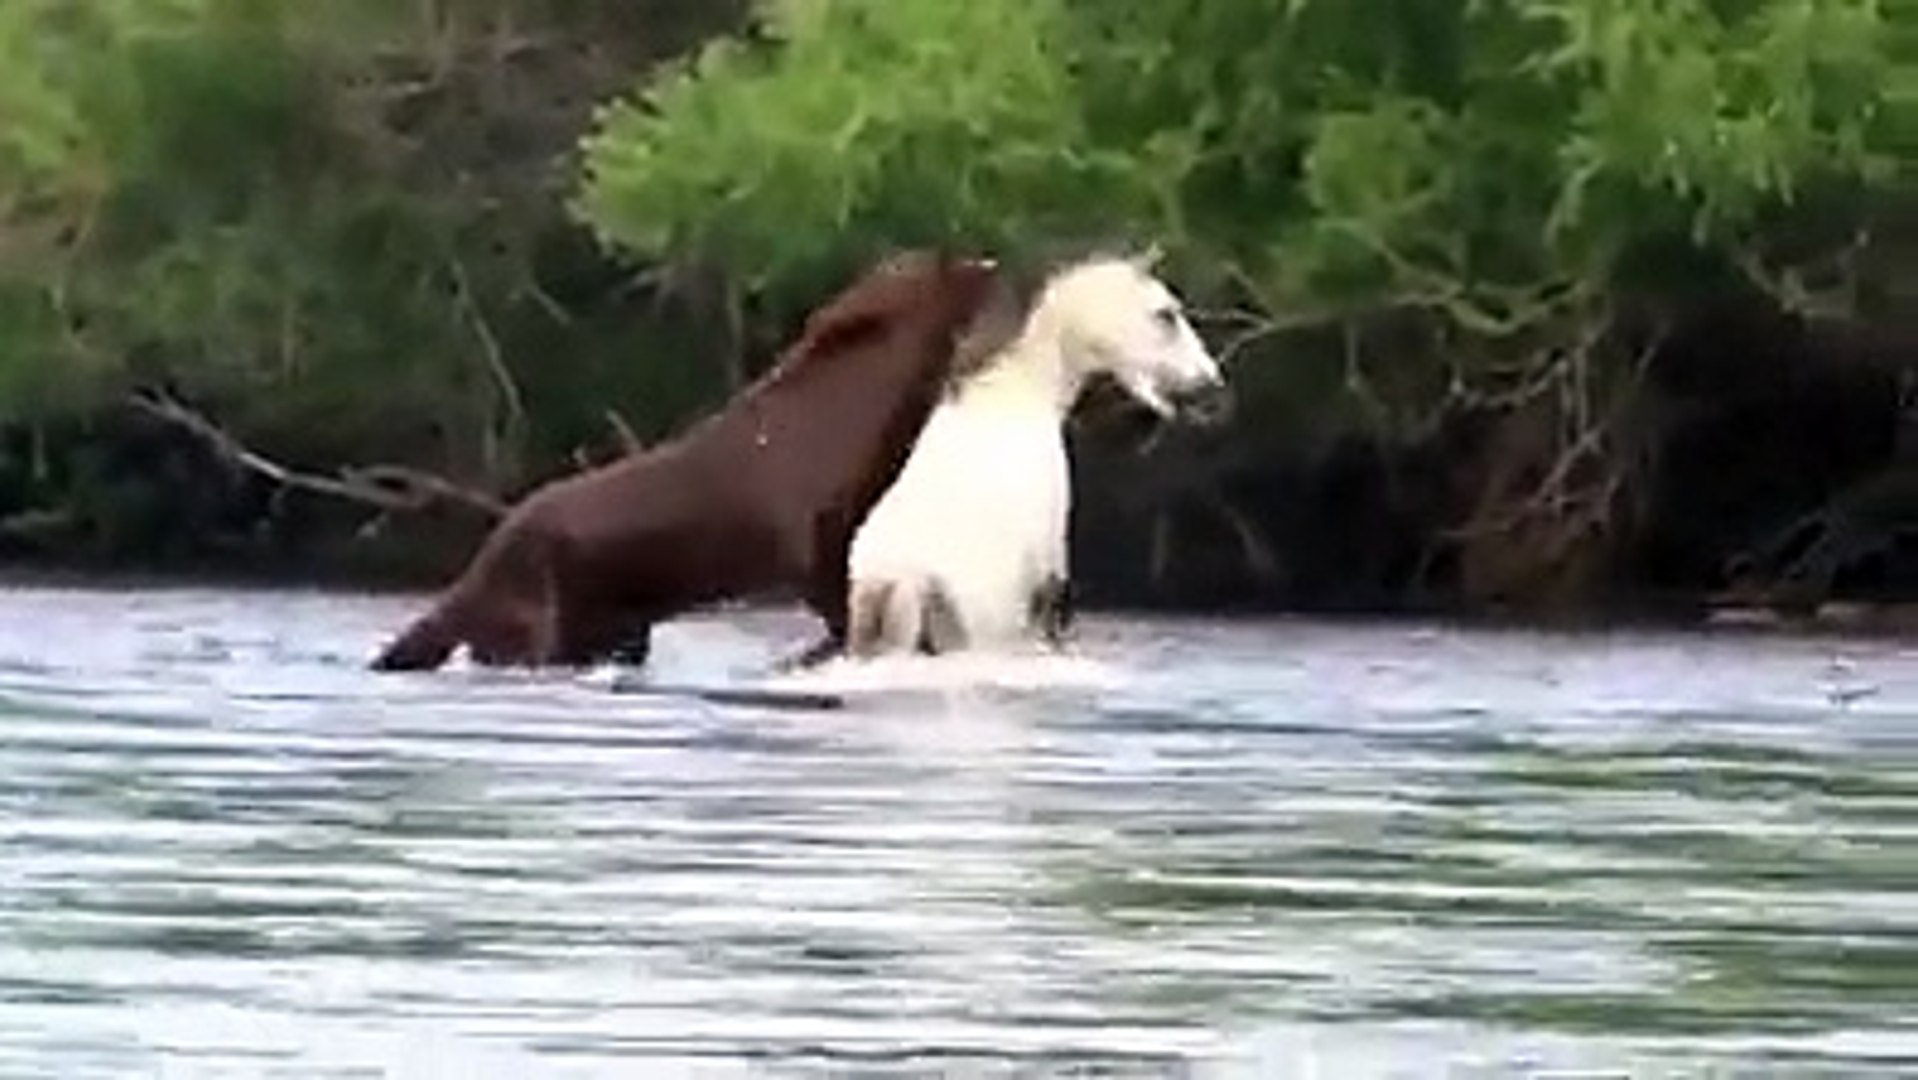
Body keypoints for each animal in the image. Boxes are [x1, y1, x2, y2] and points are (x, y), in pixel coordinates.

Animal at [369, 249, 1002, 672]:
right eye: (945, 266)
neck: (847, 419)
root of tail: (479, 566)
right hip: (546, 608)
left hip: (614, 622)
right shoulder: (807, 539)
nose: (990, 262)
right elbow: (837, 611)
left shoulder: (847, 525)